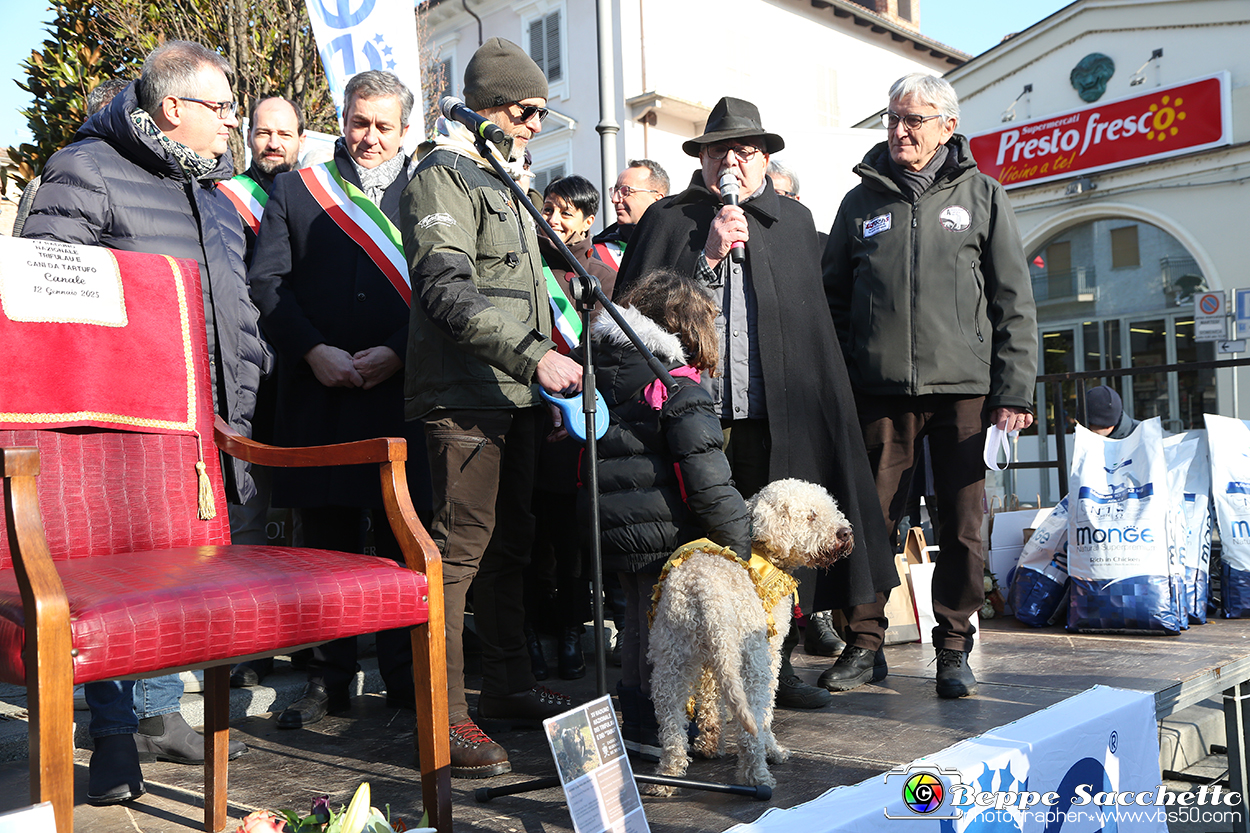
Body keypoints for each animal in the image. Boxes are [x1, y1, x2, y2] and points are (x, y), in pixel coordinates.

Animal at [645, 477, 850, 790]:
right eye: (811, 515)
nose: (845, 532)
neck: (762, 549)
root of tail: (701, 585)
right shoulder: (769, 648)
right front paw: (772, 750)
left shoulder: (714, 656)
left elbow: (711, 697)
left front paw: (709, 744)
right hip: (751, 659)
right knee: (753, 721)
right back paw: (759, 774)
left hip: (672, 658)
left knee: (670, 723)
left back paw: (667, 776)